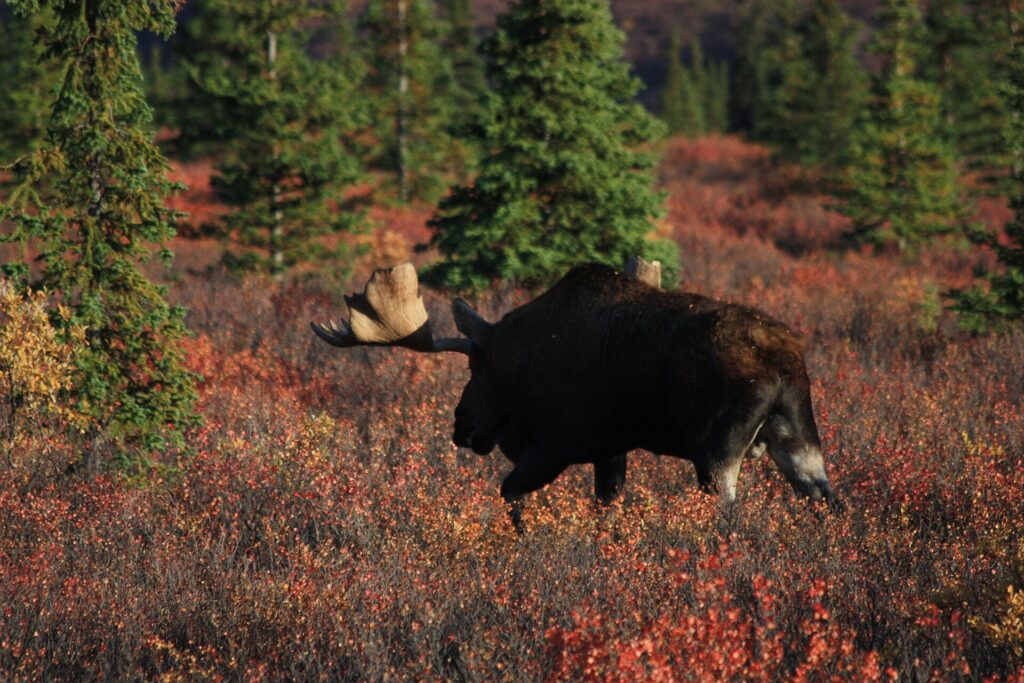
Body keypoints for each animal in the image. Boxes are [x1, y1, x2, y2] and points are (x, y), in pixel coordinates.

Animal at [312, 258, 841, 526]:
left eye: (473, 368)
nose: (461, 426)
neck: (520, 362)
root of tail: (787, 363)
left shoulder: (557, 445)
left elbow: (511, 495)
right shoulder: (611, 450)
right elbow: (606, 510)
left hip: (717, 451)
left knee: (730, 514)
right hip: (797, 437)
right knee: (827, 498)